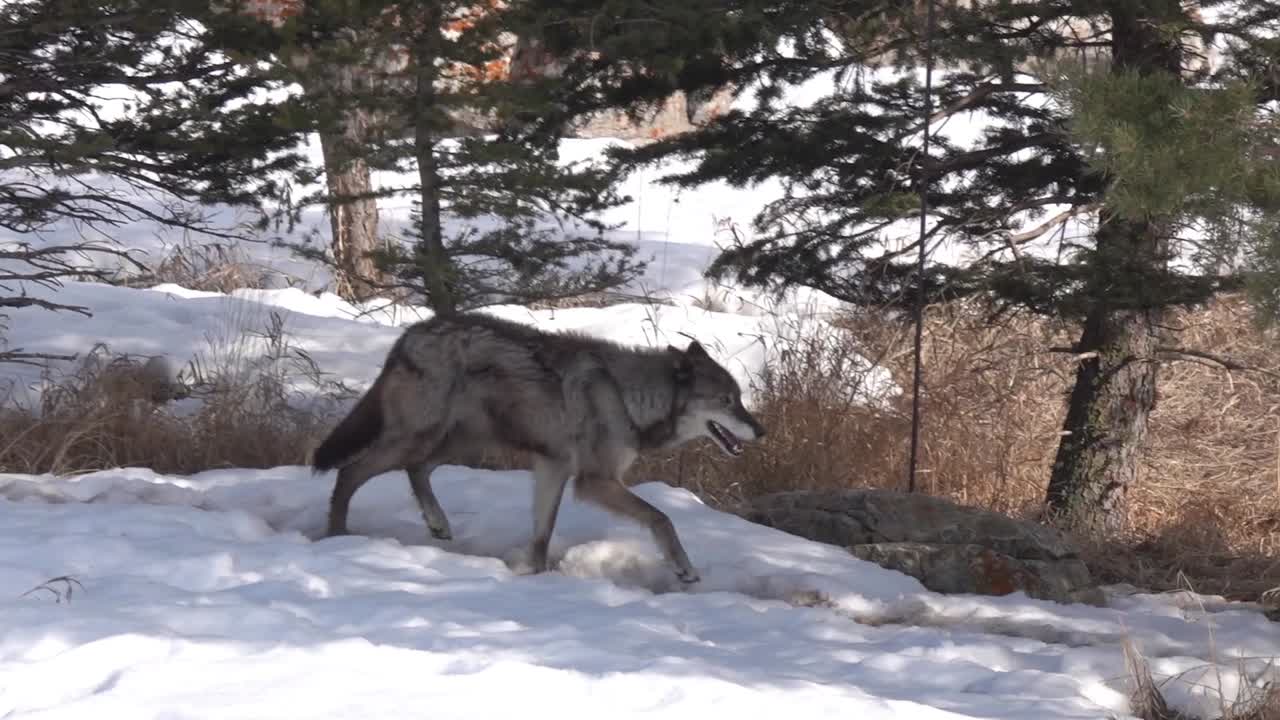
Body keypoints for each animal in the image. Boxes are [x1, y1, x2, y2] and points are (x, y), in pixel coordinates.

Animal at [310, 312, 766, 583]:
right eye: (727, 401)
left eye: (740, 398)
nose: (761, 431)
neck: (627, 396)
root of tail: (410, 333)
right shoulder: (594, 481)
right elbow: (662, 518)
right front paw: (684, 568)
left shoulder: (553, 469)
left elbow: (542, 537)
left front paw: (537, 580)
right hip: (419, 437)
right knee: (349, 473)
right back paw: (338, 538)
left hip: (460, 441)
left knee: (416, 469)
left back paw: (437, 523)